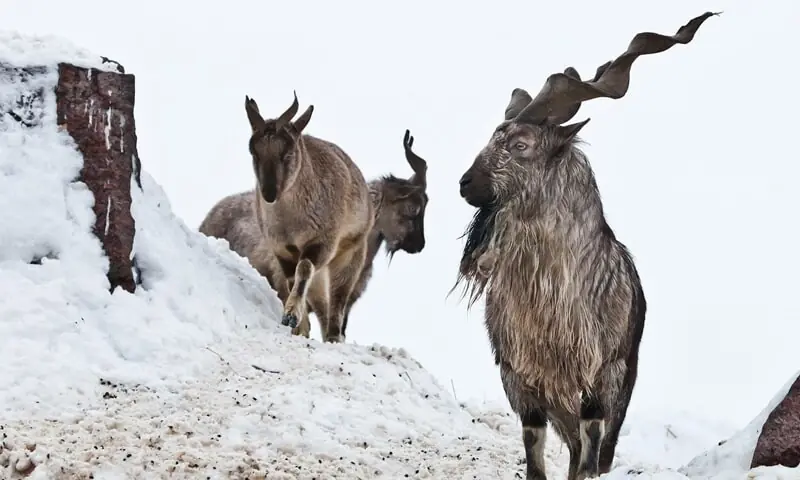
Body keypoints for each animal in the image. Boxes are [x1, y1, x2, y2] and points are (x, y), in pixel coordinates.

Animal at [452, 12, 719, 480]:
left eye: (520, 145)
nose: (467, 183)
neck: (553, 302)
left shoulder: (603, 375)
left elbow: (592, 450)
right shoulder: (520, 379)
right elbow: (534, 447)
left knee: (594, 448)